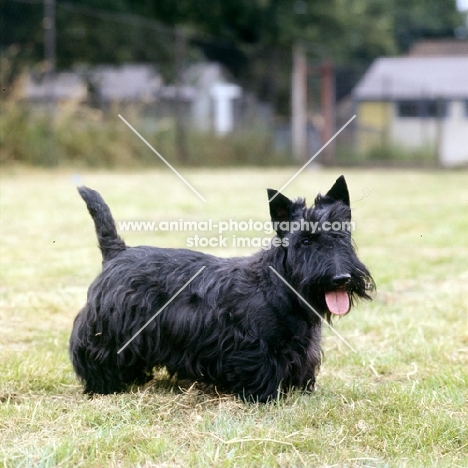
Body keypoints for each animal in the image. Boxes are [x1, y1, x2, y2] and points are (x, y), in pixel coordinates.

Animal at [69, 176, 374, 402]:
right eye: (306, 241)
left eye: (341, 235)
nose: (340, 278)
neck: (281, 288)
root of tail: (117, 254)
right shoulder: (255, 348)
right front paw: (265, 395)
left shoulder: (303, 350)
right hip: (106, 331)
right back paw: (104, 385)